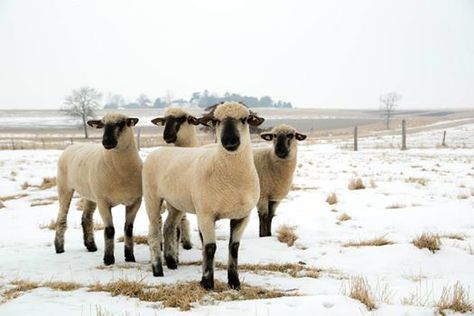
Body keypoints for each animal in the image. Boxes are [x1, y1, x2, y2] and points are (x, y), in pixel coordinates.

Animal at [54, 112, 142, 266]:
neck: (121, 172)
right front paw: (108, 259)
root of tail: (71, 147)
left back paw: (91, 246)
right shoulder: (103, 202)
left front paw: (130, 257)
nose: (106, 142)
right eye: (103, 124)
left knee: (86, 218)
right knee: (61, 217)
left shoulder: (135, 202)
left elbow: (128, 229)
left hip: (90, 194)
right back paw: (59, 248)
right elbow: (109, 230)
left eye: (121, 123)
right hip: (64, 187)